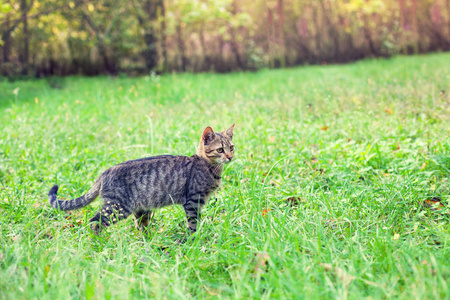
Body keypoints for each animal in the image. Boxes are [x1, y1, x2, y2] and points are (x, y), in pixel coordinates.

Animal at [48, 124, 236, 234]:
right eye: (220, 150)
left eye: (232, 147)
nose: (230, 157)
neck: (209, 167)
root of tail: (104, 173)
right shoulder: (193, 201)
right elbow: (193, 223)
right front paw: (193, 239)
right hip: (118, 208)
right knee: (95, 221)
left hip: (141, 210)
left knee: (140, 227)